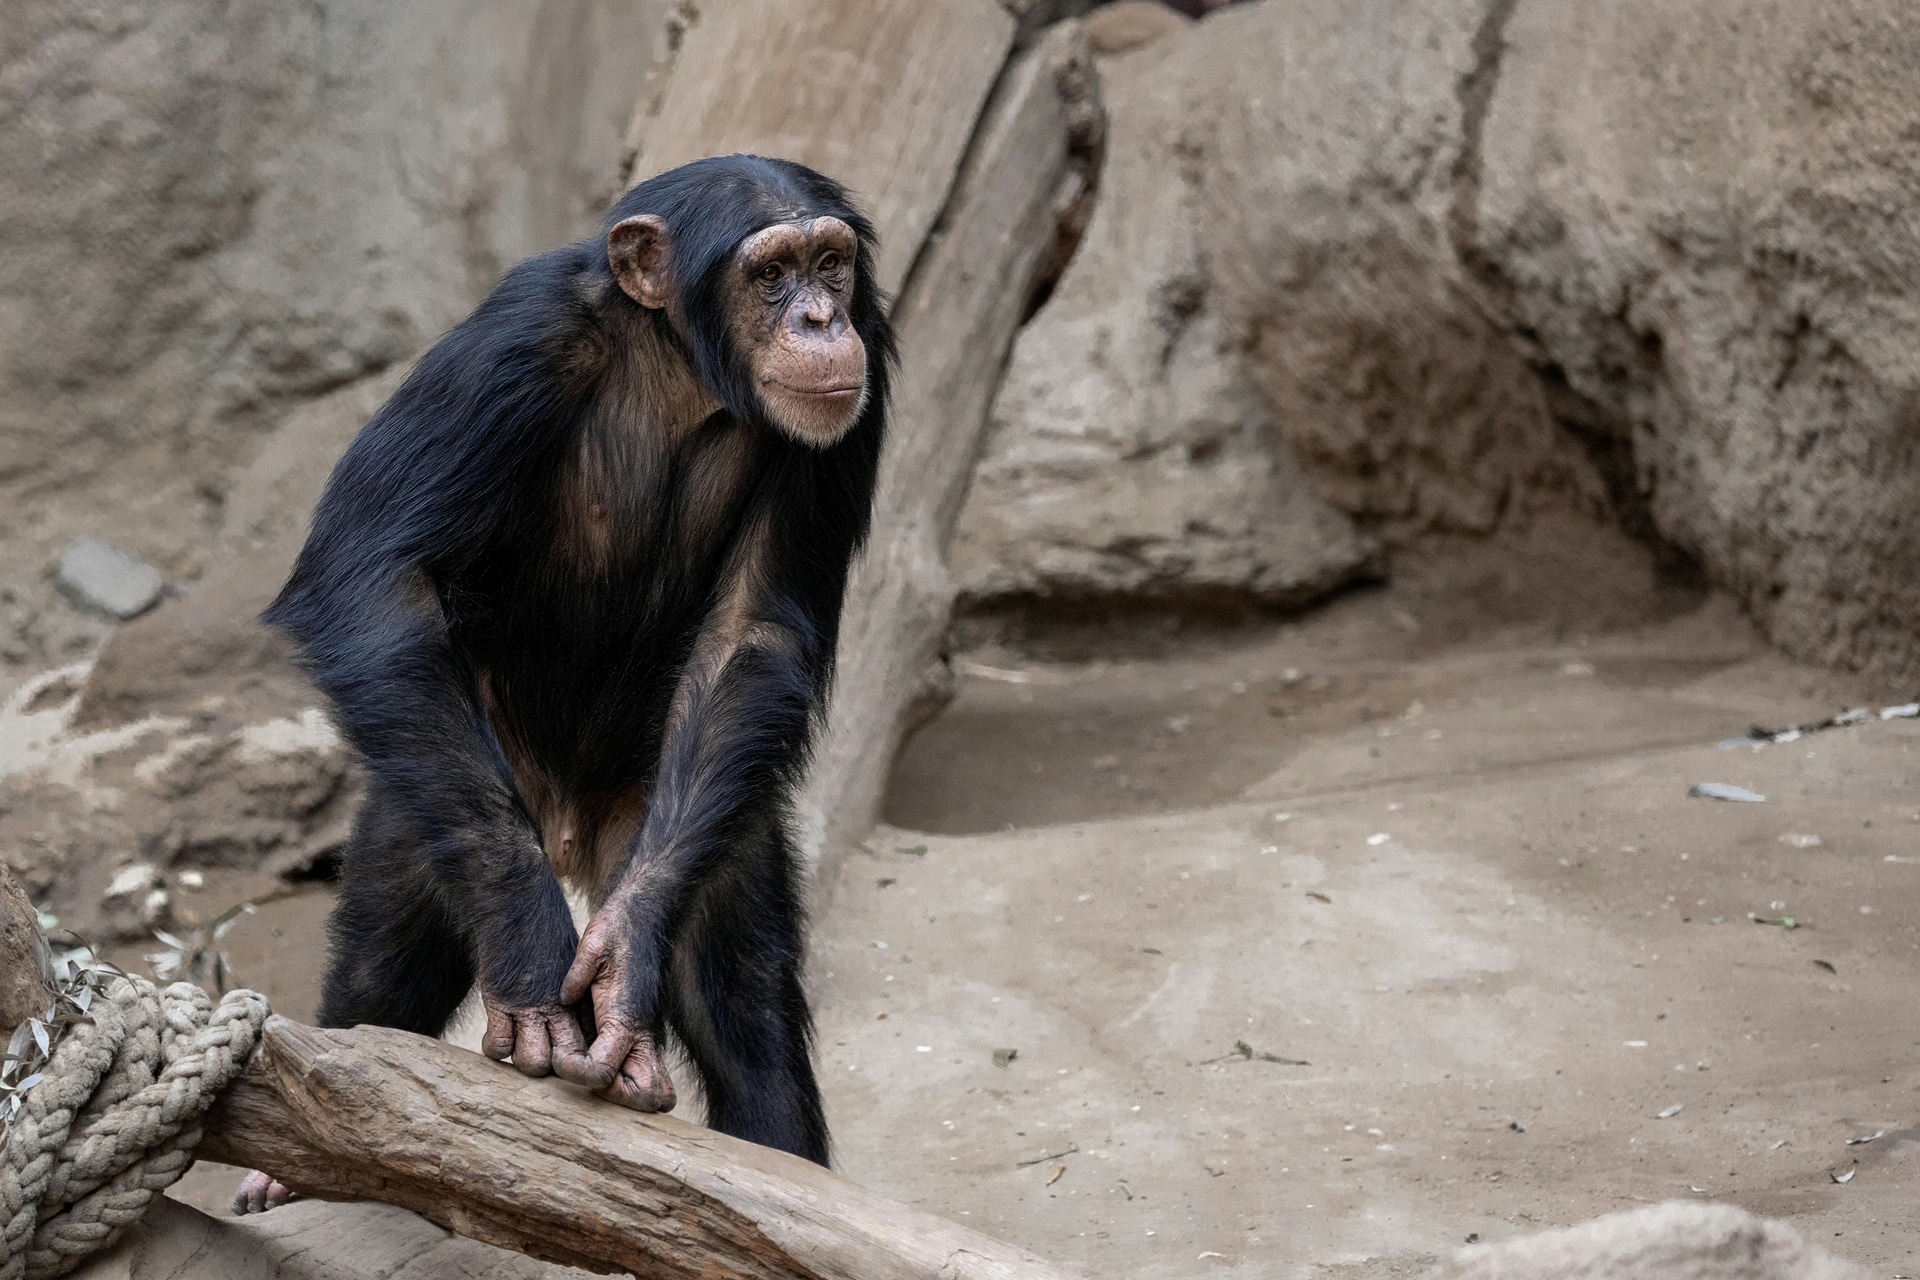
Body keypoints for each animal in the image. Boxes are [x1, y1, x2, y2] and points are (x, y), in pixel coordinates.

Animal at [233, 154, 894, 1213]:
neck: (679, 369)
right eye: (769, 275)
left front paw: (620, 960)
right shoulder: (513, 341)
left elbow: (751, 630)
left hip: (683, 814)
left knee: (743, 1000)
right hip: (448, 769)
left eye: (830, 264)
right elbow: (371, 573)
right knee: (388, 951)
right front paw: (534, 958)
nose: (821, 320)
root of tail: (575, 832)